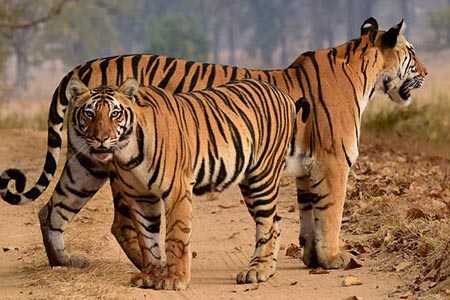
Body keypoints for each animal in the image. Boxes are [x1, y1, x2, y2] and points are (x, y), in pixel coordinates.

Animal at [65, 77, 300, 288]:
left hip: (263, 176)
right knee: (275, 222)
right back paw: (266, 269)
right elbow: (147, 239)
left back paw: (257, 270)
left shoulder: (177, 190)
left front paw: (174, 279)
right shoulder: (140, 197)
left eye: (115, 113)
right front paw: (149, 275)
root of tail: (281, 92)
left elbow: (175, 236)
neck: (126, 152)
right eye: (89, 113)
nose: (101, 138)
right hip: (248, 183)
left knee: (267, 224)